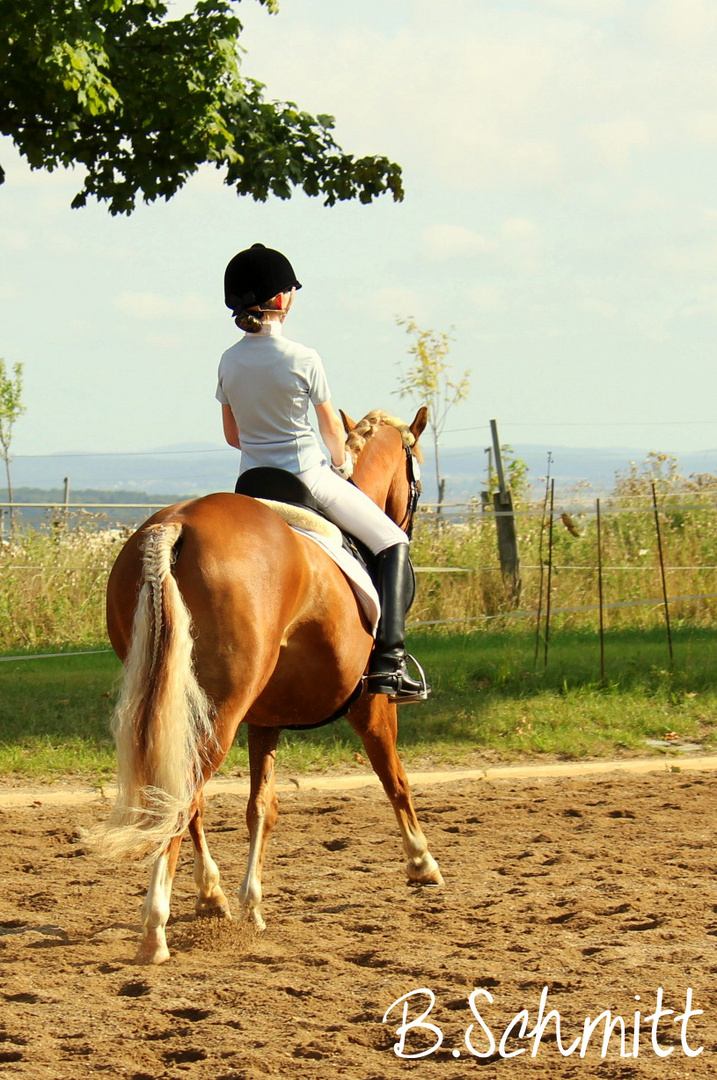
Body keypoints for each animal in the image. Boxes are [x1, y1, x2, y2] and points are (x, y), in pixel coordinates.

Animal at [100, 406, 442, 963]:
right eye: (416, 473)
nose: (411, 515)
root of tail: (177, 525)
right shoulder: (372, 704)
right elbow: (396, 779)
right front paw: (422, 863)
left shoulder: (265, 718)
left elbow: (262, 807)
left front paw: (252, 904)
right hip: (219, 707)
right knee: (184, 791)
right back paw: (155, 928)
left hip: (188, 700)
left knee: (184, 795)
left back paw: (210, 896)